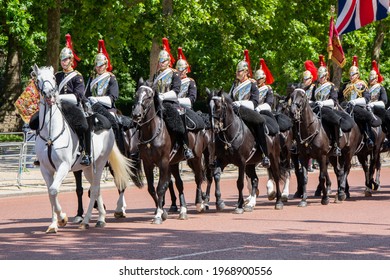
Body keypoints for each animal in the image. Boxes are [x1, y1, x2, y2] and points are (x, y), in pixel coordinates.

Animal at [32, 64, 133, 233]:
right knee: (95, 188)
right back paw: (99, 216)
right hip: (87, 168)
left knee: (98, 188)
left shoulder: (64, 166)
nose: (49, 94)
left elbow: (53, 190)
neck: (50, 133)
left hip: (100, 163)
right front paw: (53, 224)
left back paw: (92, 220)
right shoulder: (45, 169)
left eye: (52, 78)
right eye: (38, 79)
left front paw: (62, 218)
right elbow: (51, 193)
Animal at [131, 80, 210, 224]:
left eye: (149, 96)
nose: (136, 115)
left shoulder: (163, 162)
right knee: (179, 183)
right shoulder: (148, 164)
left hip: (195, 157)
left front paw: (158, 215)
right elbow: (152, 189)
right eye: (136, 94)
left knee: (199, 178)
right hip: (174, 163)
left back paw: (199, 203)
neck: (153, 132)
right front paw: (162, 211)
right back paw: (183, 210)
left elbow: (161, 187)